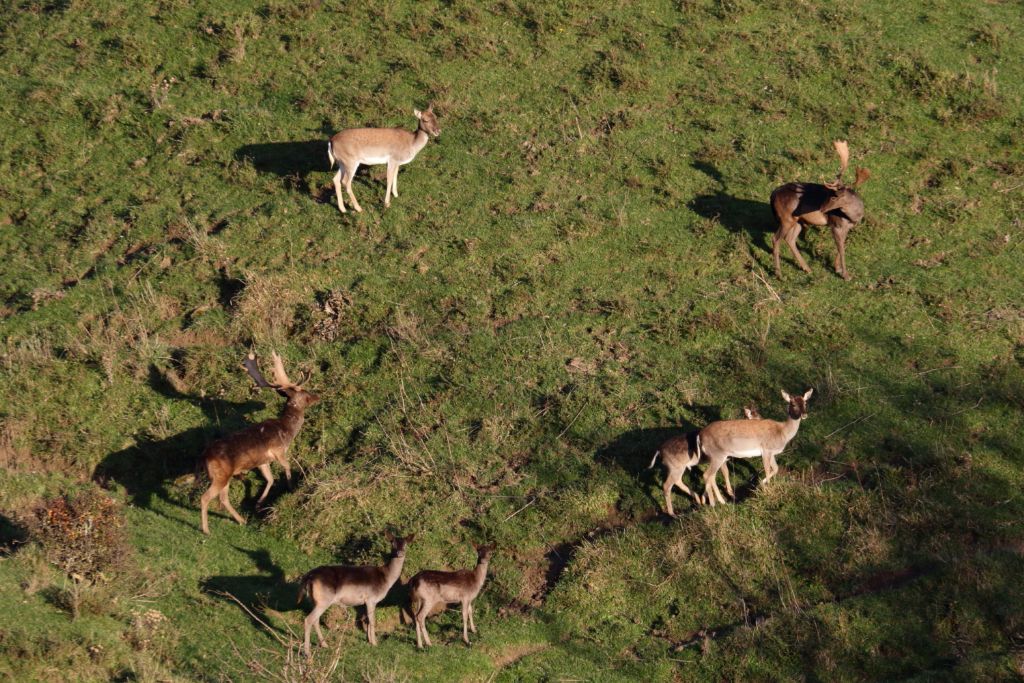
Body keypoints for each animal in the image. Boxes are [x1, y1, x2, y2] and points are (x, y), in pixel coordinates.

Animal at [195, 356, 315, 536]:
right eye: (306, 394)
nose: (318, 396)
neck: (287, 431)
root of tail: (204, 456)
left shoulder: (262, 460)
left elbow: (270, 479)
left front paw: (259, 503)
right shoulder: (278, 450)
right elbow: (287, 466)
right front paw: (290, 486)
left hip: (224, 476)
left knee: (223, 498)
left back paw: (241, 520)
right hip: (220, 475)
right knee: (205, 497)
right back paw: (206, 529)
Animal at [770, 140, 872, 278]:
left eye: (833, 196)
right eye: (827, 193)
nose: (822, 209)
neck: (853, 216)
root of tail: (773, 194)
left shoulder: (848, 227)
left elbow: (842, 246)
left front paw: (837, 268)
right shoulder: (835, 224)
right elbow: (841, 248)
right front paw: (846, 275)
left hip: (798, 221)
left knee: (790, 239)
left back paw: (807, 268)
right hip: (786, 218)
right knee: (776, 239)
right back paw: (779, 274)